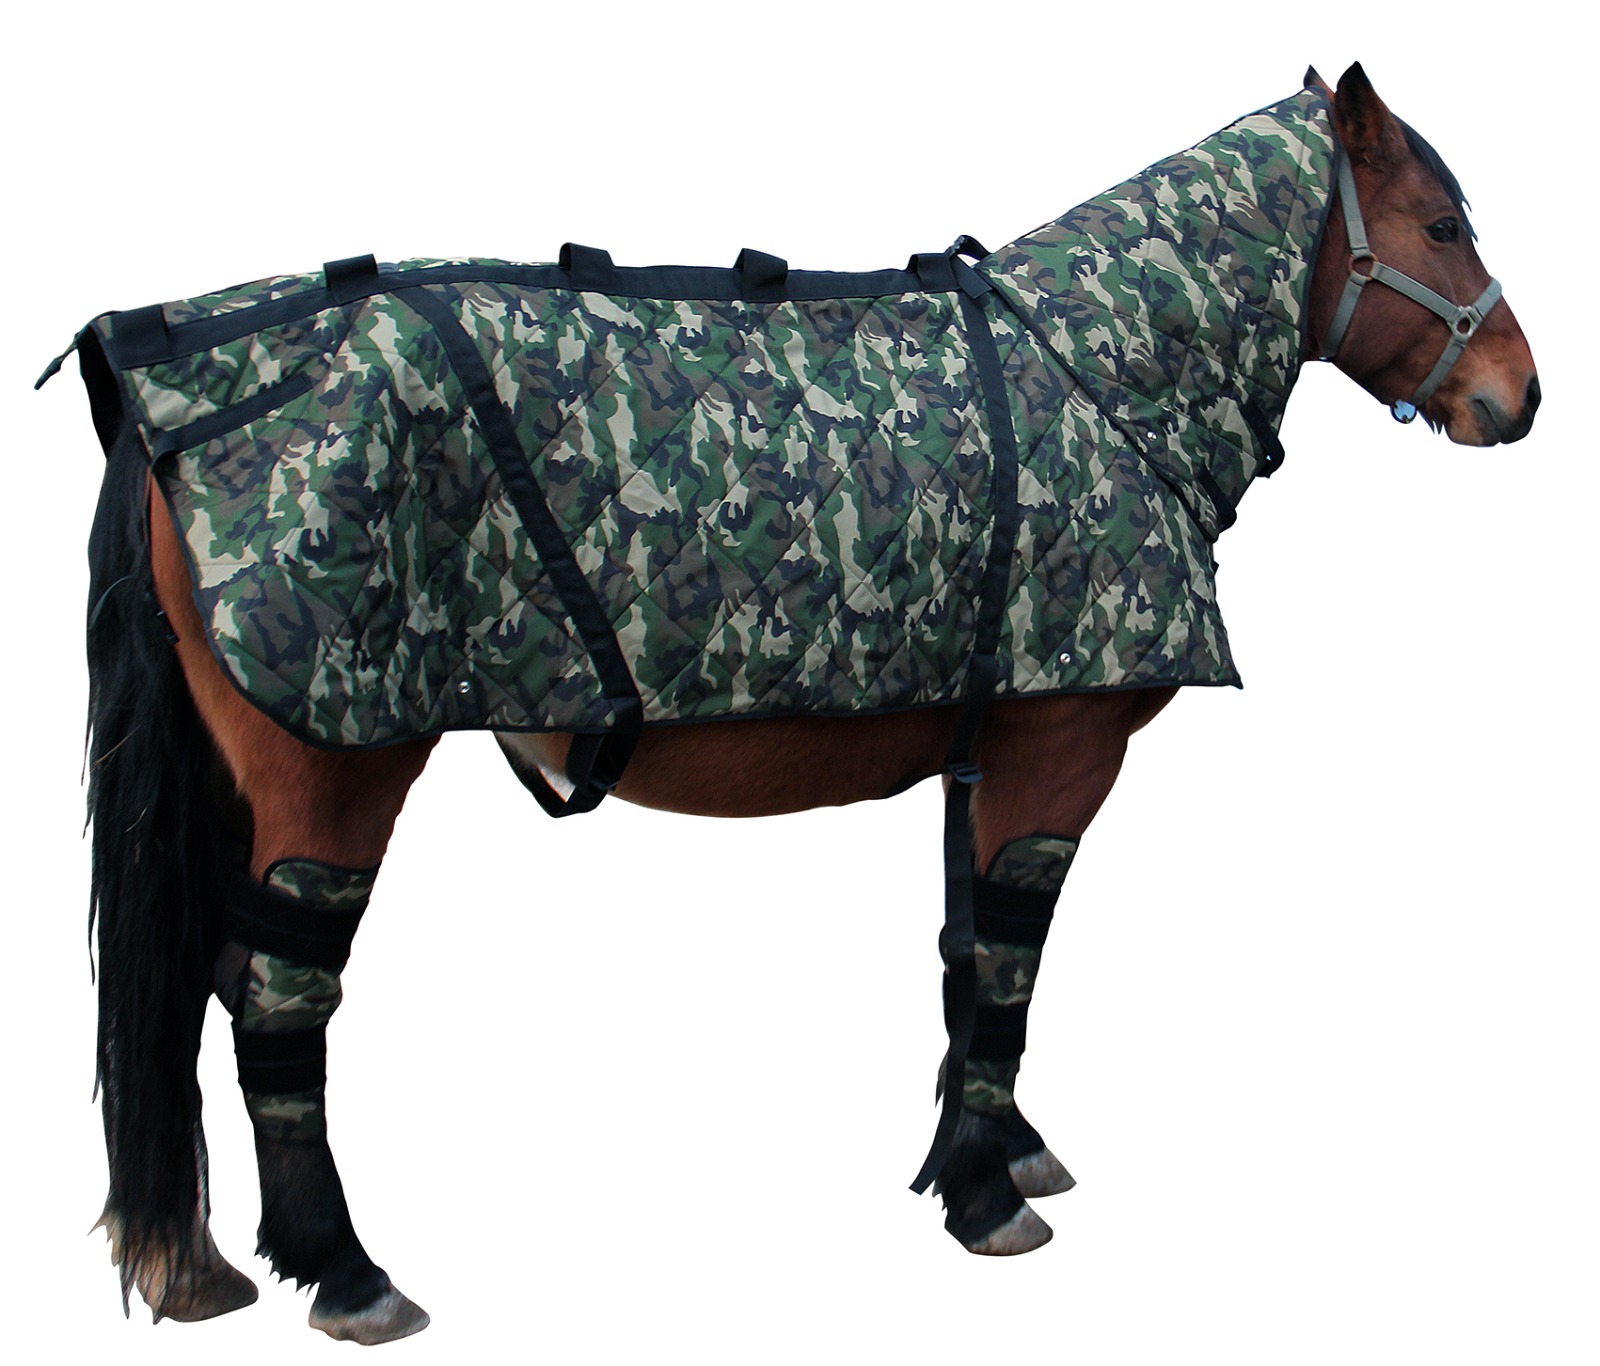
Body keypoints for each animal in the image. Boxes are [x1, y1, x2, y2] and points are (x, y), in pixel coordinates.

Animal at [57, 61, 1537, 1343]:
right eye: (1442, 224)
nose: (1518, 395)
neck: (1095, 378)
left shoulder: (989, 741)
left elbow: (968, 958)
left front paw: (996, 1151)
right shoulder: (1060, 749)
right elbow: (1011, 964)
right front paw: (983, 1192)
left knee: (199, 980)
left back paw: (192, 1262)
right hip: (337, 769)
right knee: (275, 1001)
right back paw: (347, 1269)